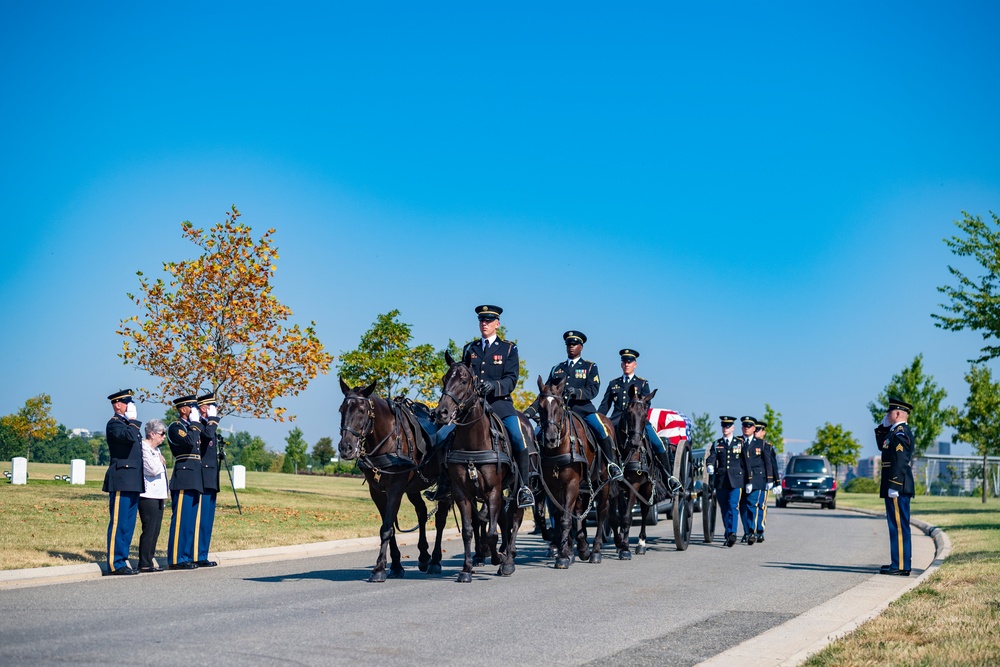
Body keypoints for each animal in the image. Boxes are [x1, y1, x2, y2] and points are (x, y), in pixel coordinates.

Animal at [336, 378, 450, 580]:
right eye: (341, 410)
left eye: (362, 410)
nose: (346, 448)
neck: (387, 439)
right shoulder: (377, 492)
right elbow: (388, 526)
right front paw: (396, 565)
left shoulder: (395, 489)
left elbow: (387, 527)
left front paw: (379, 568)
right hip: (413, 488)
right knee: (422, 512)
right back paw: (424, 556)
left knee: (440, 519)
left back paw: (436, 560)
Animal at [438, 352, 532, 580]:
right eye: (444, 379)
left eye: (464, 380)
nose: (441, 413)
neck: (472, 441)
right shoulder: (462, 492)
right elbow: (468, 529)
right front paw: (466, 569)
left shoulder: (494, 490)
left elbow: (491, 532)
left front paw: (498, 558)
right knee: (504, 520)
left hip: (517, 487)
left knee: (515, 518)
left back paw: (508, 559)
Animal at [536, 376, 612, 568]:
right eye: (540, 406)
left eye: (560, 405)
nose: (550, 438)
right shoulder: (554, 486)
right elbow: (561, 516)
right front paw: (568, 552)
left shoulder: (571, 484)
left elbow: (565, 519)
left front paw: (563, 556)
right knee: (579, 513)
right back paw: (583, 547)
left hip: (603, 483)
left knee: (602, 512)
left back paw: (596, 551)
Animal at [612, 384, 660, 560]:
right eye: (629, 412)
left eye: (645, 414)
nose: (635, 442)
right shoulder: (618, 485)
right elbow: (620, 515)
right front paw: (621, 544)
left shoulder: (634, 484)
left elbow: (627, 517)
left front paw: (625, 548)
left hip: (647, 487)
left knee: (645, 510)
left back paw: (641, 543)